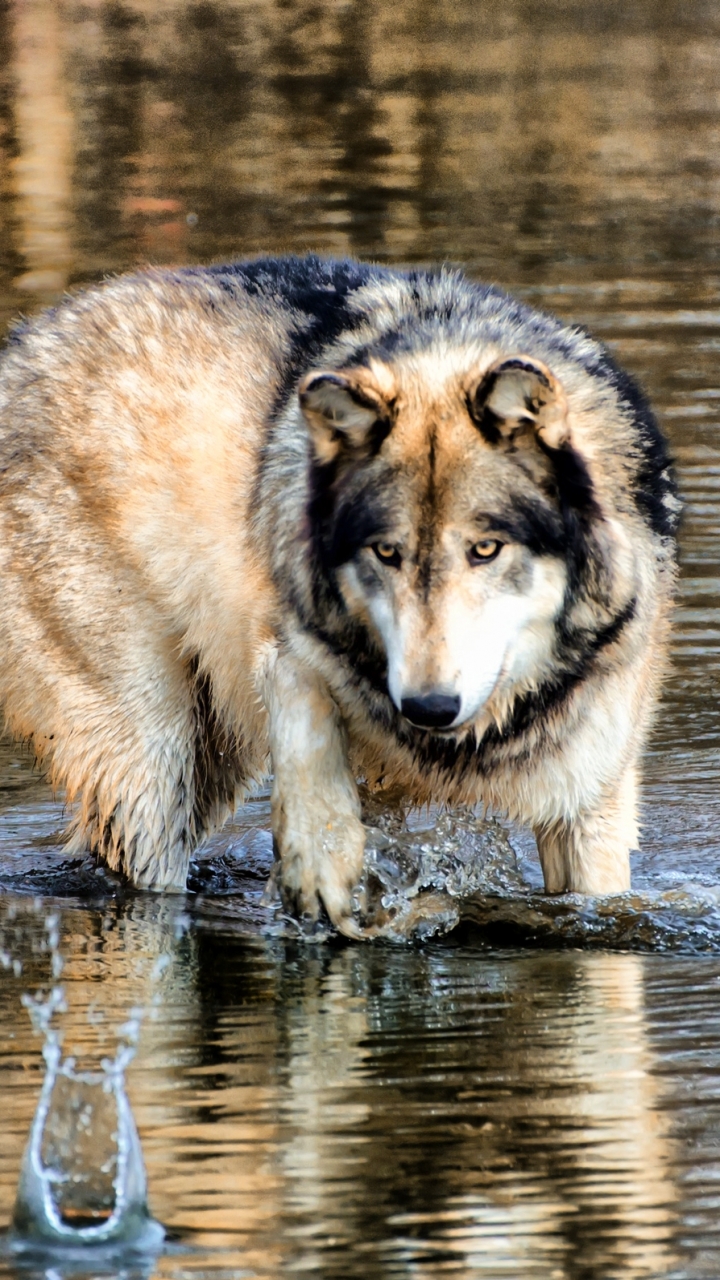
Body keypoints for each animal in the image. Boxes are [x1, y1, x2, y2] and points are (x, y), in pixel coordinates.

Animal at [0, 254, 676, 936]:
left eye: (485, 549)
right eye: (387, 552)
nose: (429, 706)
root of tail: (23, 342)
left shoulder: (590, 810)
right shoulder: (283, 639)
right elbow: (306, 714)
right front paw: (322, 863)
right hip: (154, 764)